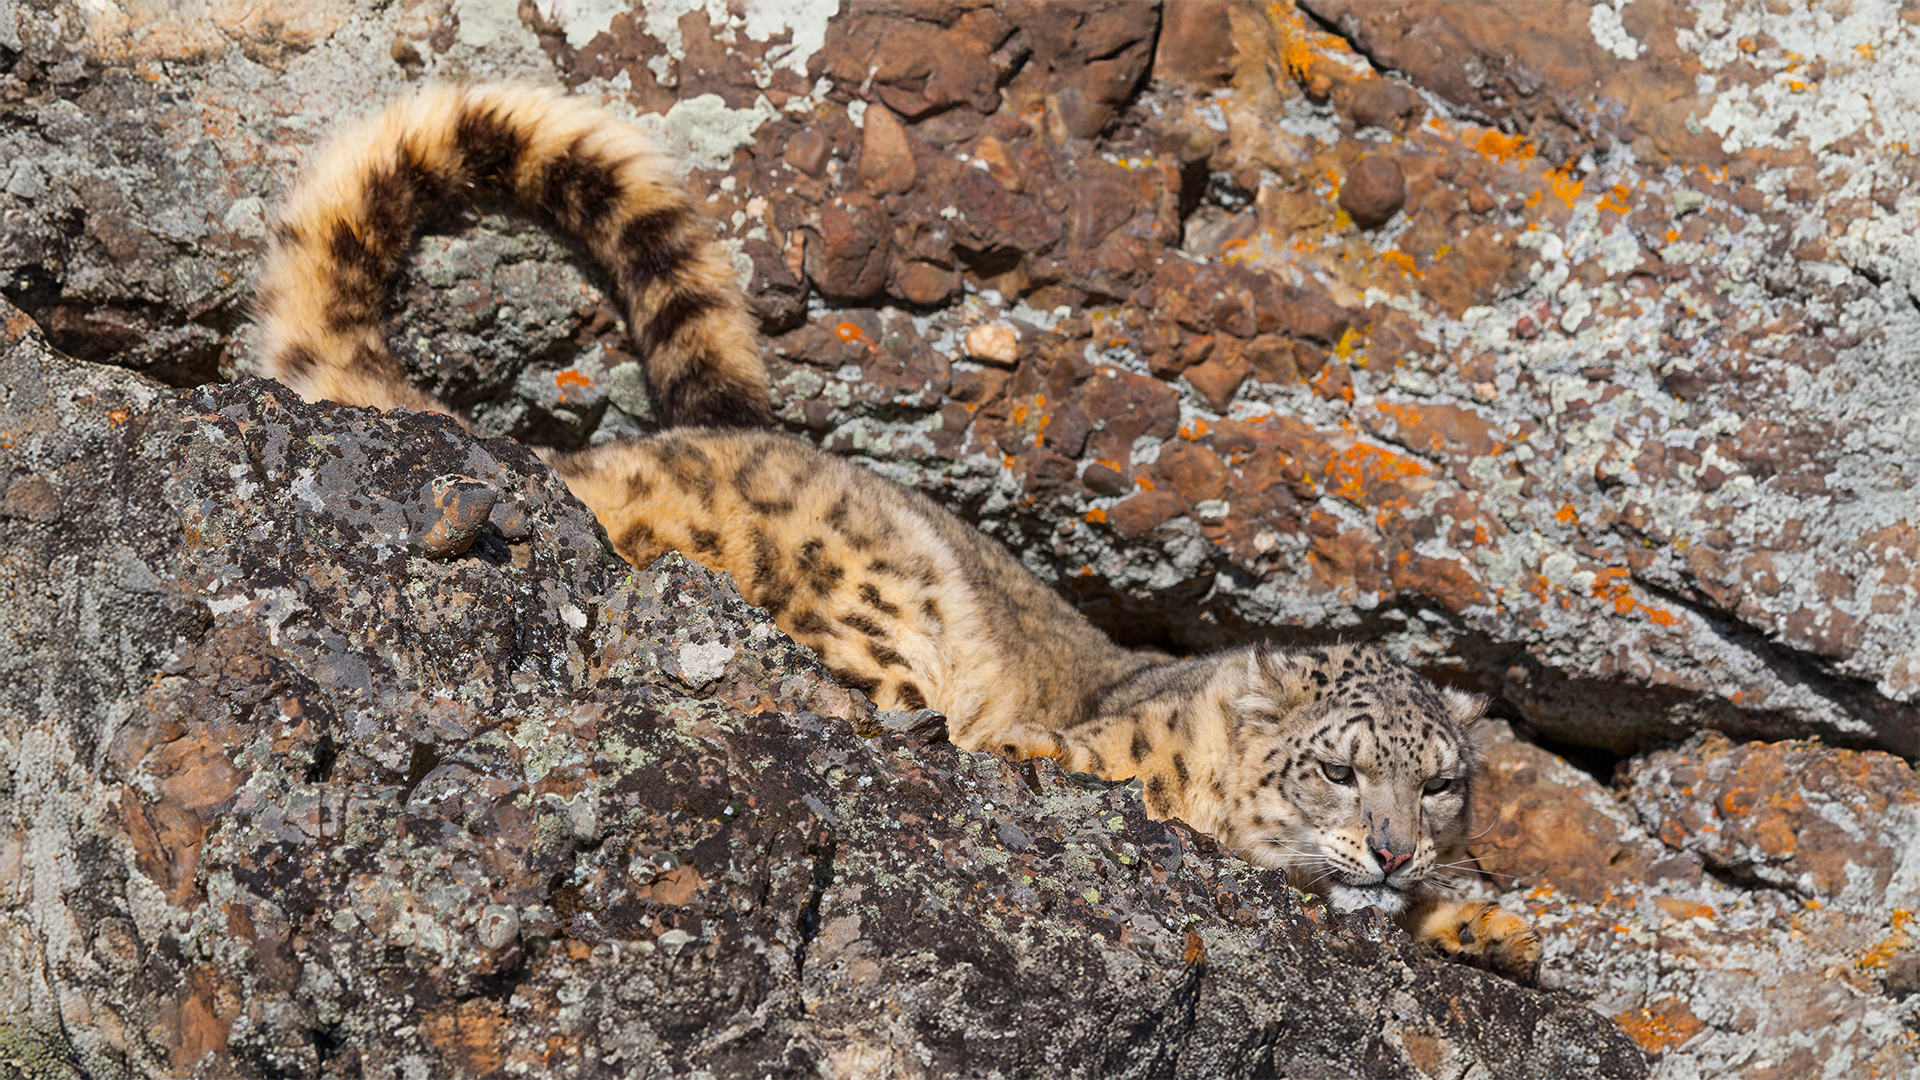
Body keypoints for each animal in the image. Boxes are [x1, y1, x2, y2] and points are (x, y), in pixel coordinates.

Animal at [253, 83, 1540, 979]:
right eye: (1339, 769)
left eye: (1441, 786)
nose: (1396, 850)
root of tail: (560, 459)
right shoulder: (1082, 756)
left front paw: (1494, 928)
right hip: (859, 589)